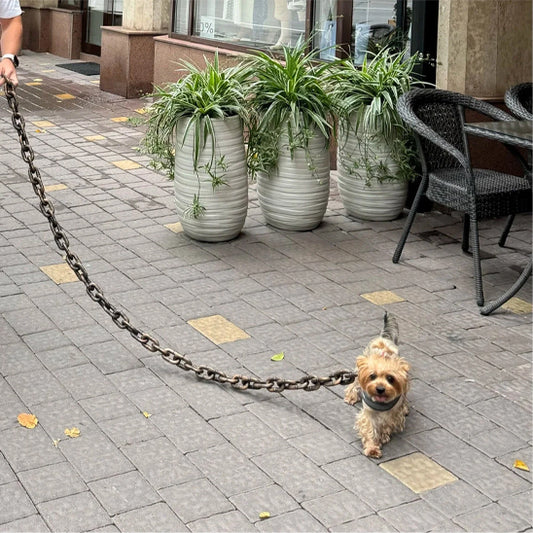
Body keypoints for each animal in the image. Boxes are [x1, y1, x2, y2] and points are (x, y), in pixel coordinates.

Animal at [342, 312, 410, 458]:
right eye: (372, 376)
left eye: (390, 378)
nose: (380, 389)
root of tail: (383, 337)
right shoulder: (369, 412)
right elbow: (370, 427)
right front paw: (372, 447)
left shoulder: (393, 411)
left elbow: (386, 423)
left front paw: (382, 436)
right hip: (359, 369)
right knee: (355, 383)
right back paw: (351, 397)